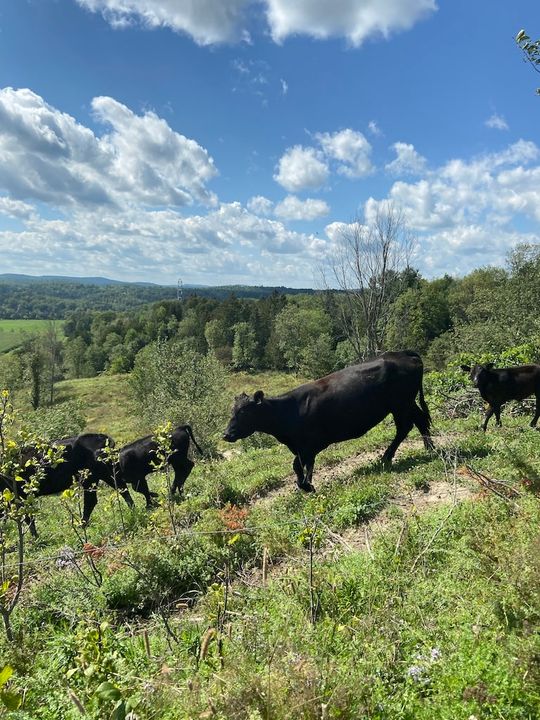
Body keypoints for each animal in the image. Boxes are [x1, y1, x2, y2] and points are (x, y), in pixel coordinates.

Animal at [221, 350, 432, 496]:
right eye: (232, 411)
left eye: (243, 412)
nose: (226, 434)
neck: (288, 412)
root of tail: (402, 353)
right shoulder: (301, 447)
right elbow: (300, 466)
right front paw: (306, 485)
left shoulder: (312, 443)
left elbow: (300, 465)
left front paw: (307, 486)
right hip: (406, 403)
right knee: (419, 421)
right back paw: (428, 448)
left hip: (400, 404)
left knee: (406, 426)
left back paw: (388, 456)